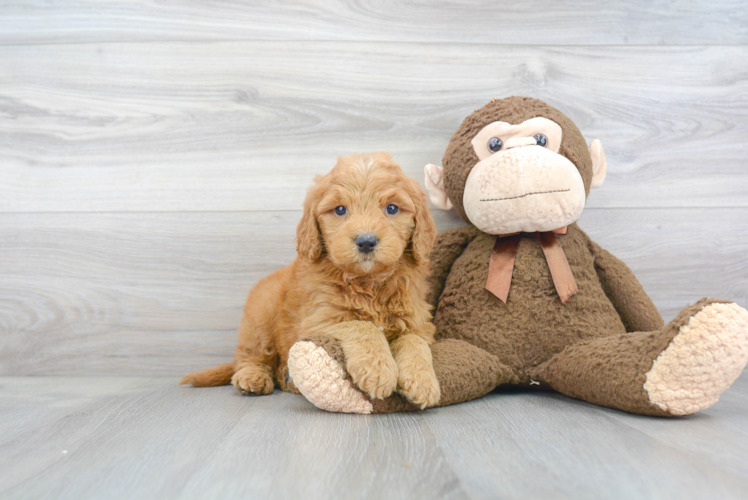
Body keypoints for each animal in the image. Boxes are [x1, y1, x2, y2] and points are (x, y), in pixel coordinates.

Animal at [180, 154, 438, 408]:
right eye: (340, 210)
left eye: (392, 208)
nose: (366, 241)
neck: (369, 282)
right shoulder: (320, 320)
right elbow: (361, 325)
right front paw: (377, 370)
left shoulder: (417, 320)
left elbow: (415, 341)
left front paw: (423, 381)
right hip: (260, 317)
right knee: (250, 355)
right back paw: (252, 377)